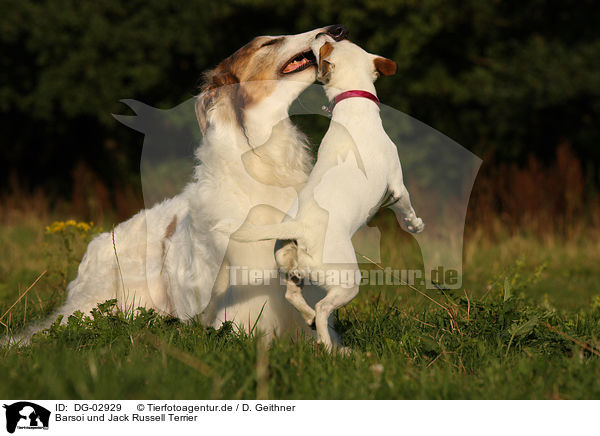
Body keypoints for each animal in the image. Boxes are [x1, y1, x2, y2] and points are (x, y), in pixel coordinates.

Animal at [227, 36, 424, 350]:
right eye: (326, 48)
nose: (325, 35)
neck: (353, 107)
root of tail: (299, 228)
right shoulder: (396, 184)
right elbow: (406, 207)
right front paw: (416, 225)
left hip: (290, 268)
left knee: (292, 296)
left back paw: (309, 321)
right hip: (346, 281)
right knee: (322, 309)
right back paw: (330, 347)